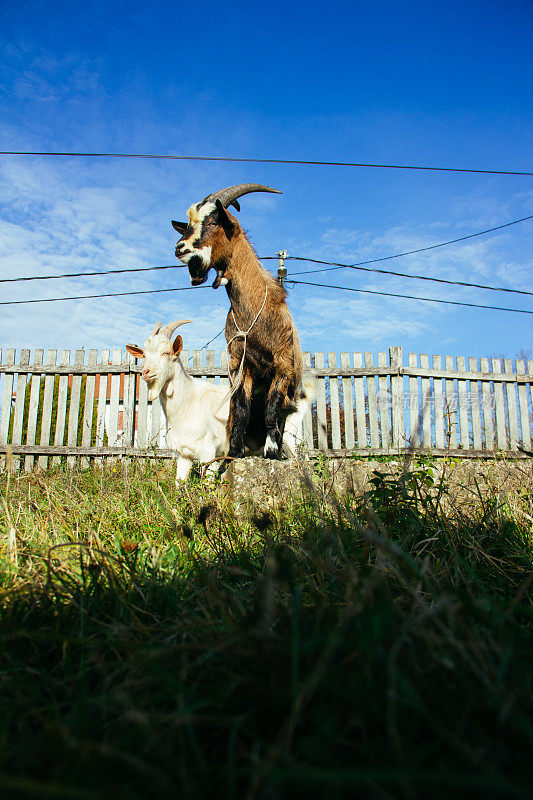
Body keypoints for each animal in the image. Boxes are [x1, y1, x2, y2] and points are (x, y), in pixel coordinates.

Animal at [127, 318, 314, 482]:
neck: (186, 402)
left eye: (166, 352)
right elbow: (179, 485)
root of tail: (300, 399)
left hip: (290, 439)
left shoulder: (208, 452)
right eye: (144, 354)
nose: (146, 372)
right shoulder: (184, 454)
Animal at [172, 181, 306, 456]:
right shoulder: (240, 365)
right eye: (188, 224)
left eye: (213, 221)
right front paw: (235, 452)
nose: (180, 248)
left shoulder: (282, 365)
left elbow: (271, 409)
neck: (255, 315)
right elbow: (242, 408)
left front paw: (271, 452)